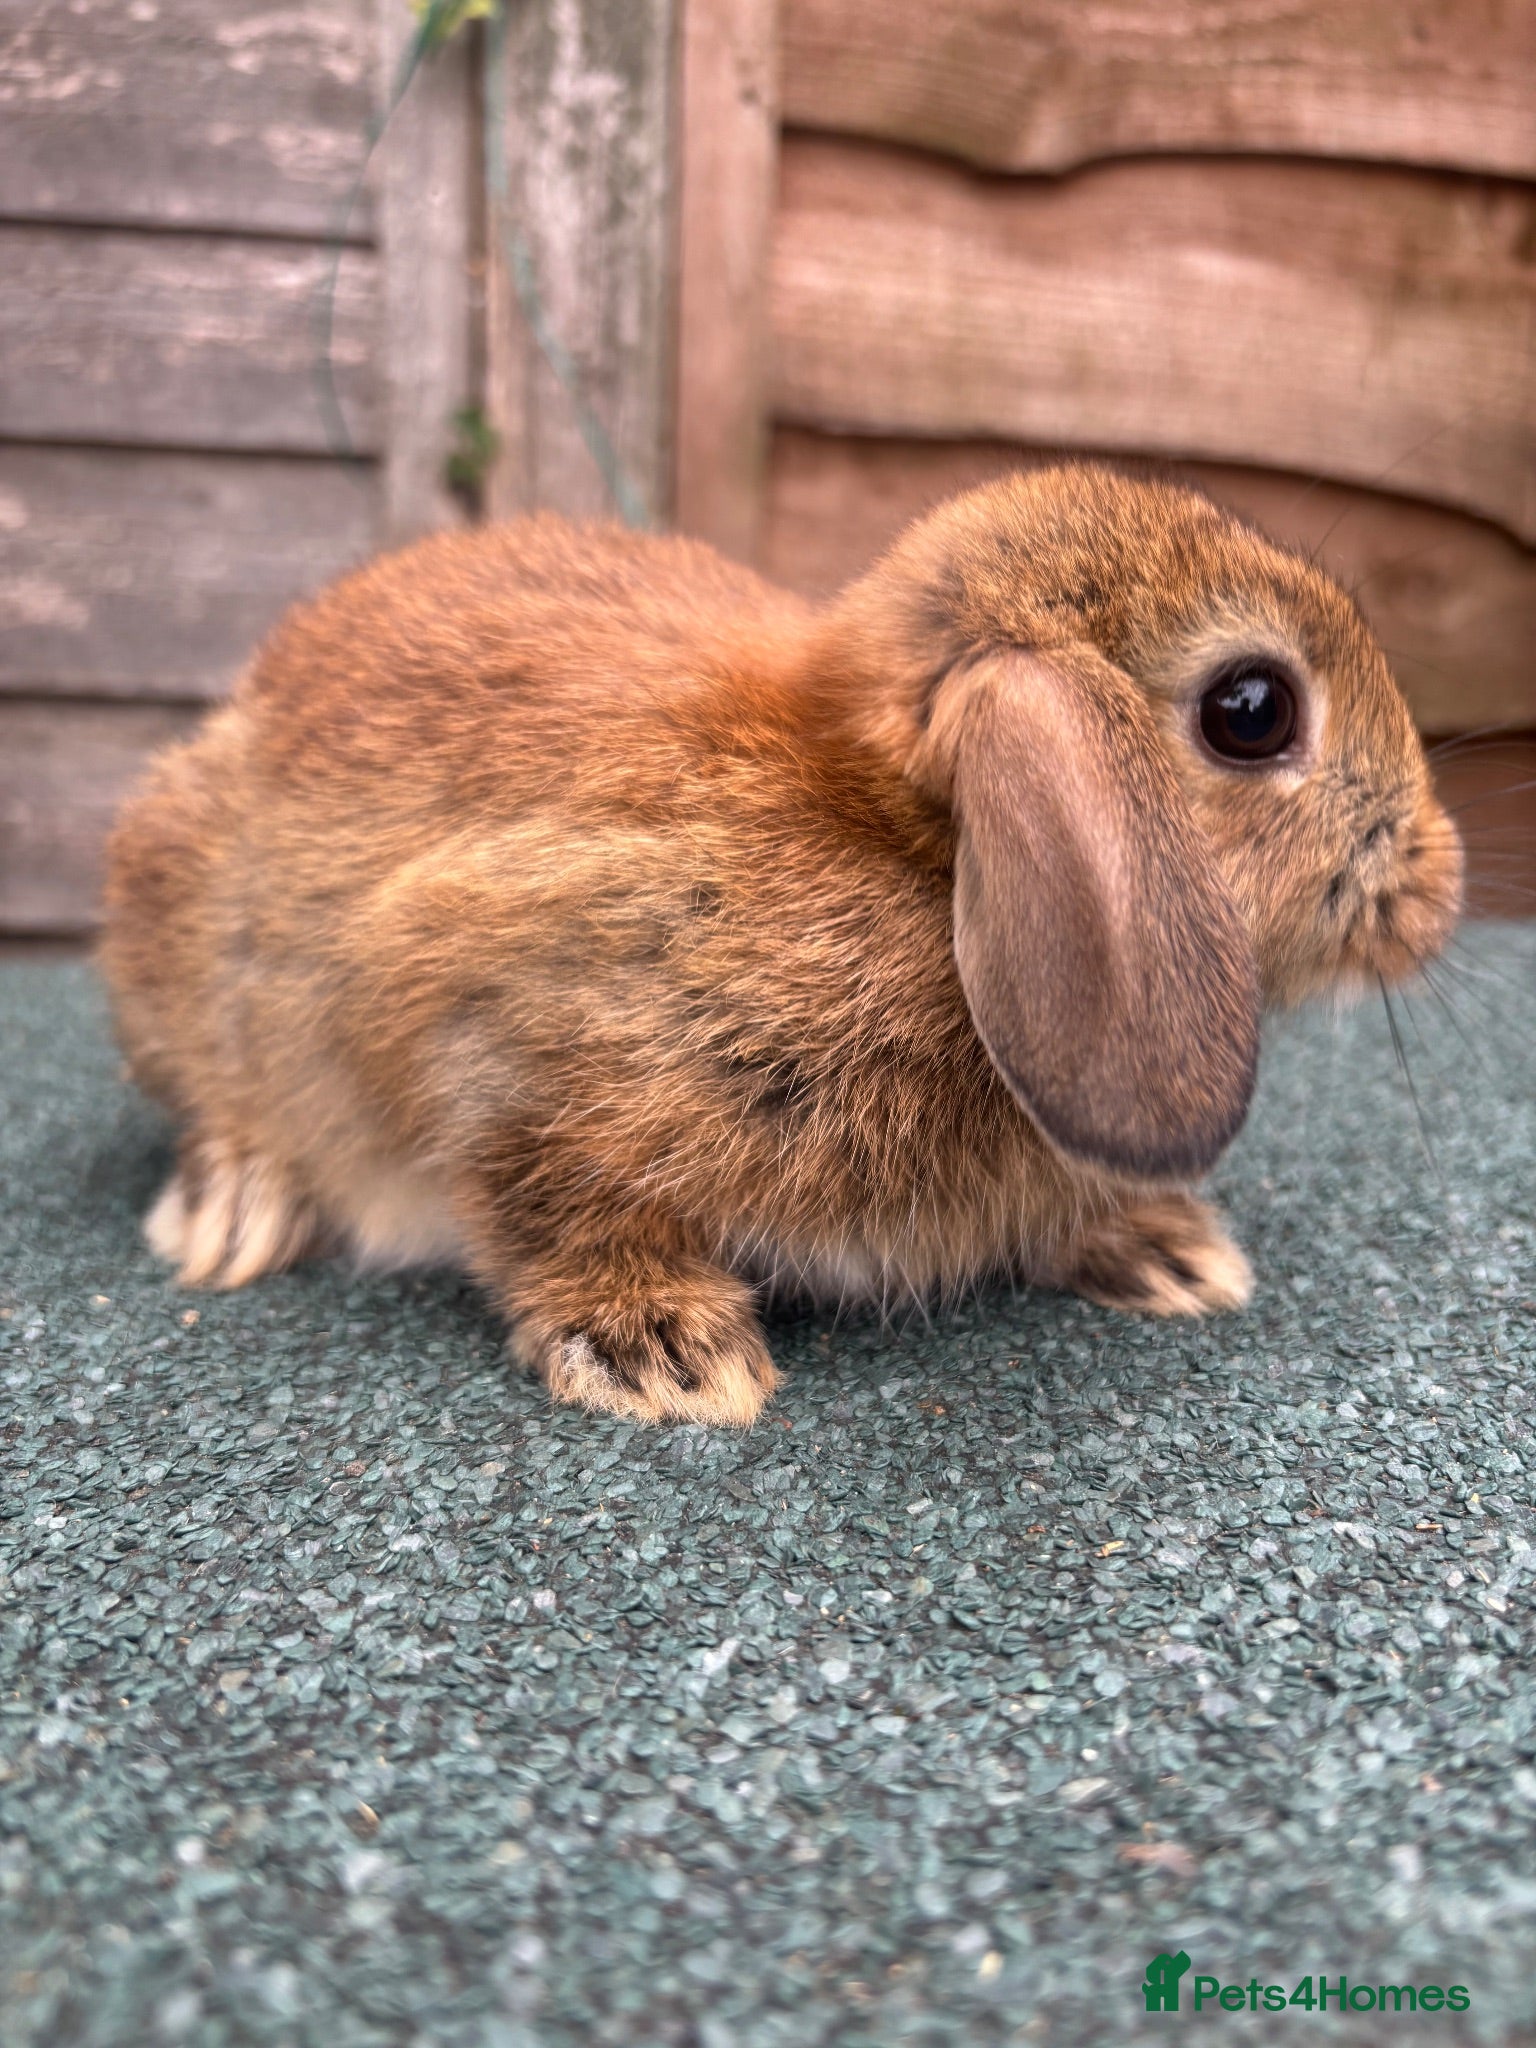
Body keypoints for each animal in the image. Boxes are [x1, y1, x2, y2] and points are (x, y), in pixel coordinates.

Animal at [100, 463, 1463, 1425]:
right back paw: (237, 1204)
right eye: (1252, 710)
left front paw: (1167, 1247)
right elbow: (537, 1186)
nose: (1437, 881)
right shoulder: (503, 1018)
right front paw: (664, 1348)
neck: (913, 857)